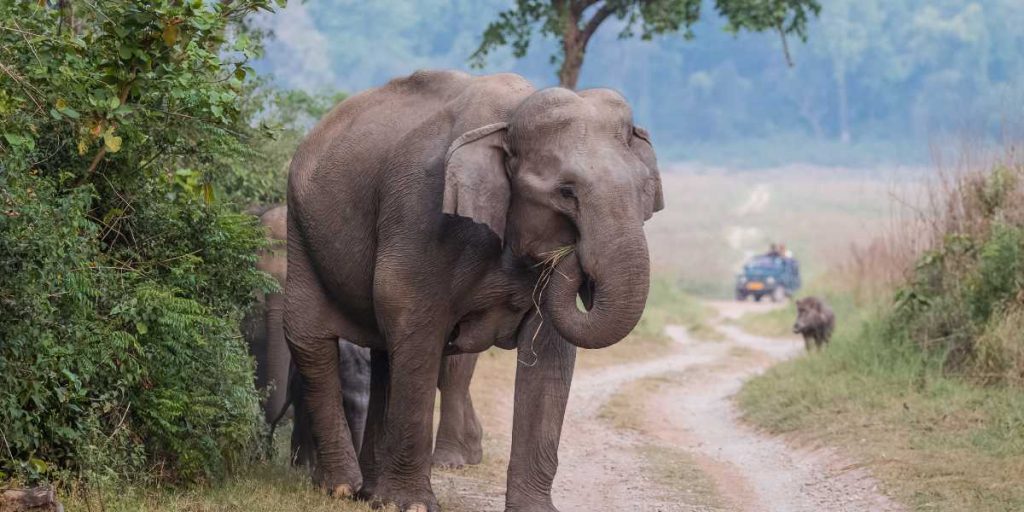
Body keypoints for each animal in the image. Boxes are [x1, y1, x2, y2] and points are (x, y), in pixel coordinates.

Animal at [284, 70, 663, 511]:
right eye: (566, 193)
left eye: (644, 190)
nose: (571, 253)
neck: (511, 117)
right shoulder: (422, 213)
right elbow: (413, 320)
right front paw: (412, 506)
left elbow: (549, 353)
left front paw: (533, 510)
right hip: (300, 229)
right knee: (311, 340)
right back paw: (342, 488)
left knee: (384, 355)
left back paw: (371, 495)